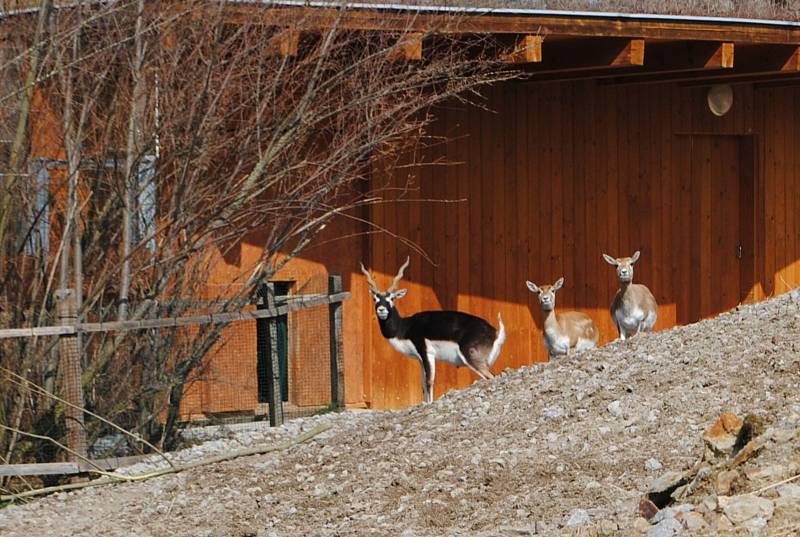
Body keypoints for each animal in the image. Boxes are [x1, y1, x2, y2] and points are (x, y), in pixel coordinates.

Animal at [362, 256, 506, 402]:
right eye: (375, 299)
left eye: (391, 298)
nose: (381, 310)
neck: (405, 327)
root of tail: (494, 333)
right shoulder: (420, 359)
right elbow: (422, 384)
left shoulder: (427, 353)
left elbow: (429, 381)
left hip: (473, 359)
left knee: (491, 377)